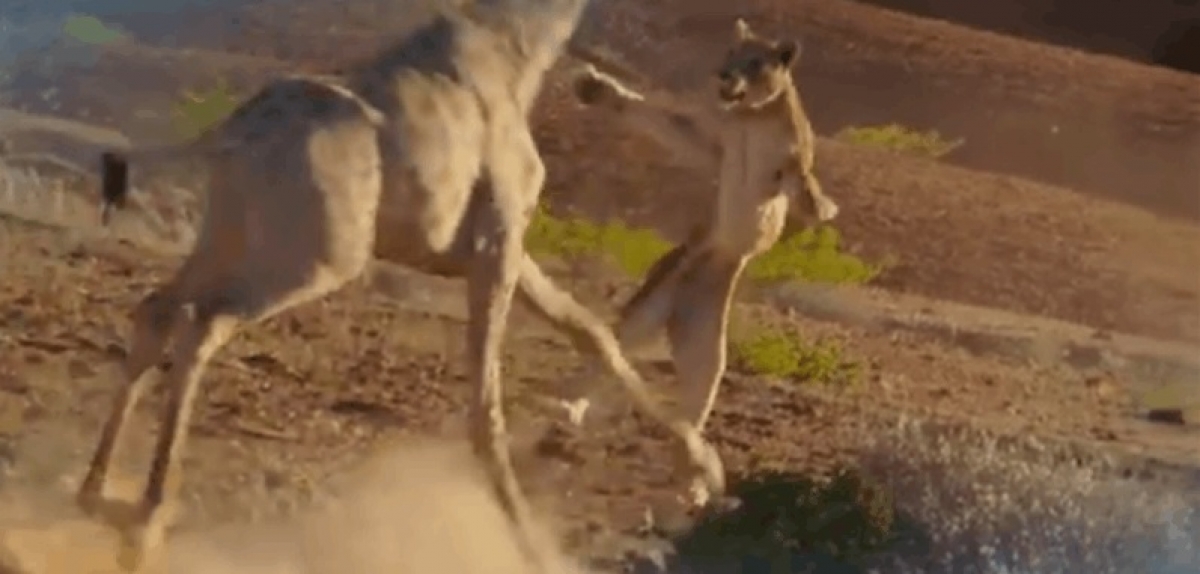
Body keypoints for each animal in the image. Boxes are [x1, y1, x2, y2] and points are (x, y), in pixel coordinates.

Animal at [78, 2, 723, 570]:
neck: (517, 52)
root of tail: (231, 136)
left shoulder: (488, 248)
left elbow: (593, 332)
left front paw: (707, 469)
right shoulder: (498, 238)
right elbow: (486, 408)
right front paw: (537, 551)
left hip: (230, 234)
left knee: (156, 311)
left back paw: (96, 495)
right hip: (316, 257)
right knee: (204, 323)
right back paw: (147, 520)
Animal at [565, 18, 840, 435]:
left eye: (755, 62)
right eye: (730, 52)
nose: (724, 74)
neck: (752, 116)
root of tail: (679, 310)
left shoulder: (792, 162)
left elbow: (802, 183)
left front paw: (822, 208)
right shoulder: (712, 145)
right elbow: (659, 118)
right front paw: (597, 88)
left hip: (706, 345)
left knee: (702, 382)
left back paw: (687, 438)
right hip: (644, 312)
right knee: (611, 351)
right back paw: (569, 409)